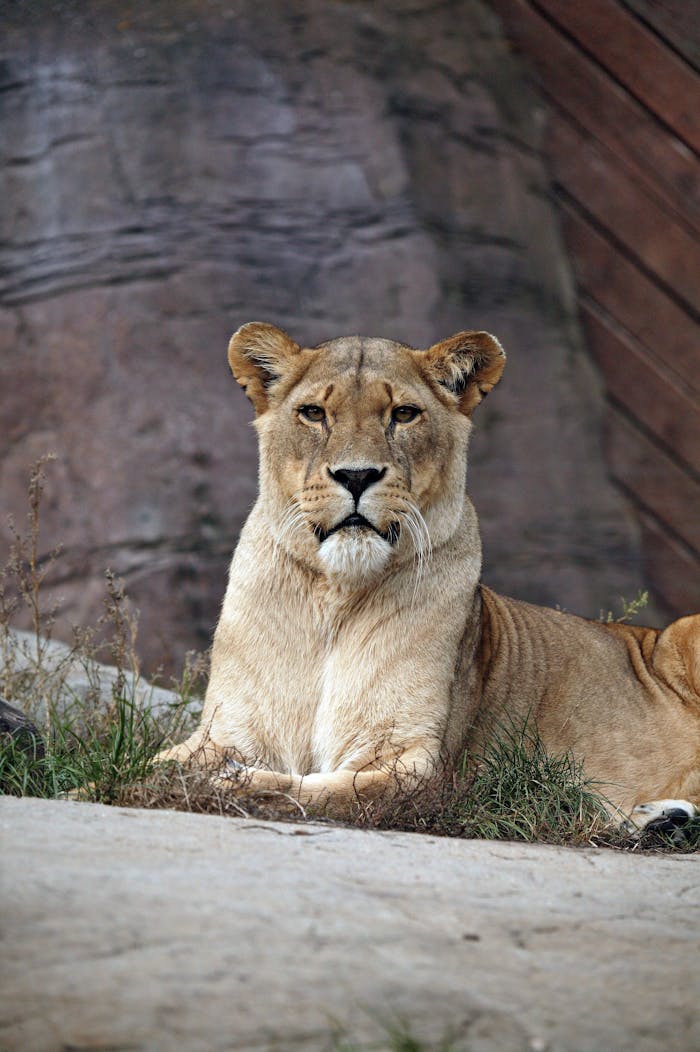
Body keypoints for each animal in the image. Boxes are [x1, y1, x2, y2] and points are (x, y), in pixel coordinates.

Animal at [158, 322, 700, 832]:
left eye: (403, 414)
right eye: (313, 413)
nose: (356, 476)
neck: (334, 595)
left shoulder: (419, 768)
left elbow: (313, 790)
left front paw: (228, 783)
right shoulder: (228, 731)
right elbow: (159, 762)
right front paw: (181, 773)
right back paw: (657, 821)